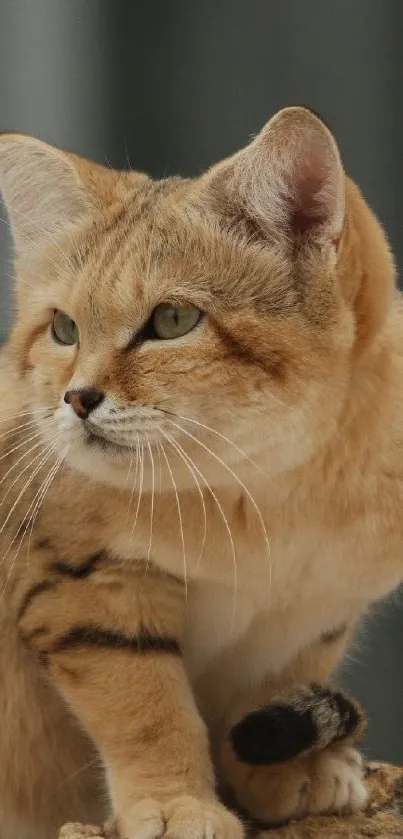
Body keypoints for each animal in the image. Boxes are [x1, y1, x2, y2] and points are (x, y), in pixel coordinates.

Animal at [0, 105, 400, 839]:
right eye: (64, 328)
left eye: (173, 319)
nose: (76, 398)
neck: (271, 494)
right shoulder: (84, 583)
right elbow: (148, 708)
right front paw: (173, 802)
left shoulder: (319, 610)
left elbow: (270, 688)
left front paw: (284, 773)